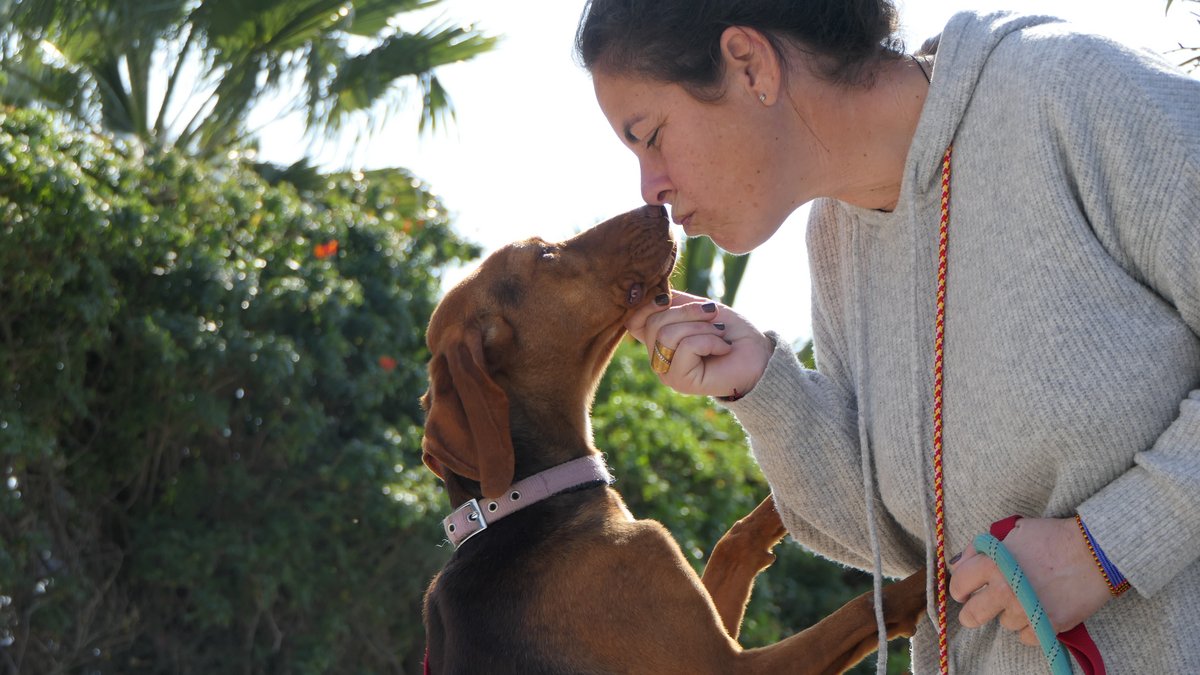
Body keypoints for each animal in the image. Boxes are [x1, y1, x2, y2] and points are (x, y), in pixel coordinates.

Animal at [420, 205, 925, 674]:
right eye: (545, 255)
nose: (658, 207)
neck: (524, 500)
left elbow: (733, 541)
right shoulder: (727, 664)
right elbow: (868, 608)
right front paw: (933, 578)